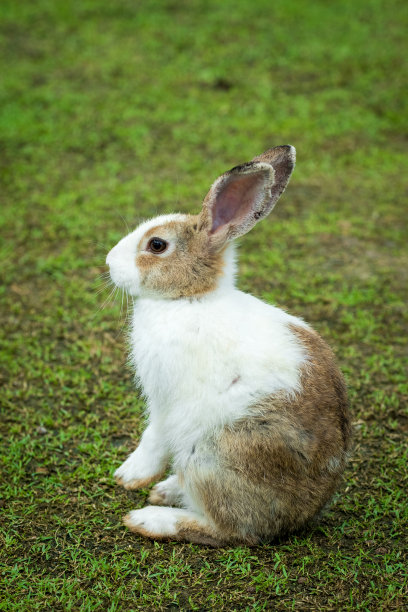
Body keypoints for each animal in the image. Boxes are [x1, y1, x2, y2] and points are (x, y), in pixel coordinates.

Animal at [105, 147, 350, 544]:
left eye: (157, 245)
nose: (109, 262)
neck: (190, 299)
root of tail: (299, 515)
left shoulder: (165, 399)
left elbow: (152, 436)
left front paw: (129, 475)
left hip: (211, 453)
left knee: (230, 530)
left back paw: (150, 518)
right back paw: (169, 490)